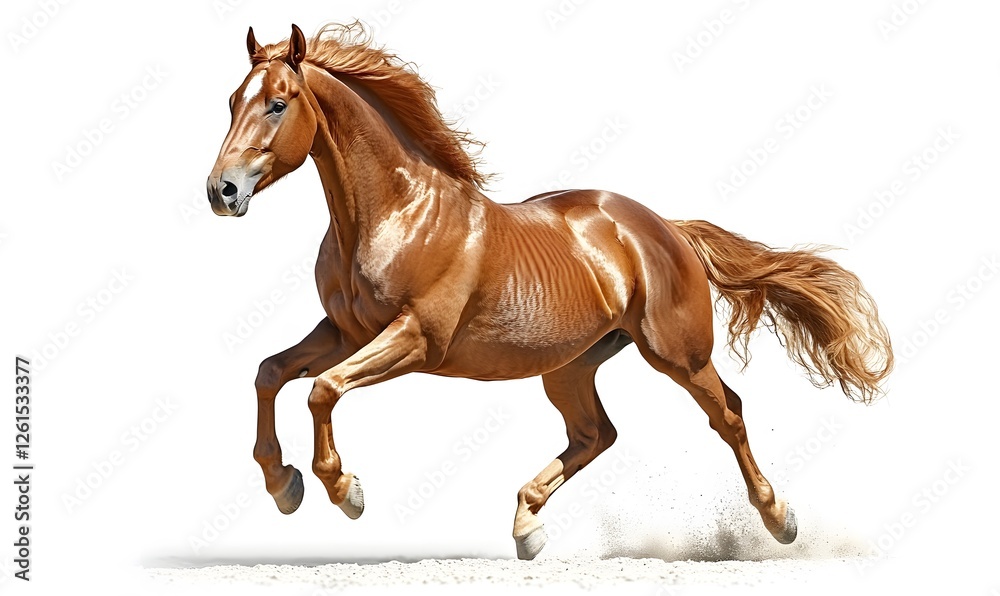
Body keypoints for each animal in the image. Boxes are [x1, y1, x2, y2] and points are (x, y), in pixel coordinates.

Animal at [206, 23, 893, 560]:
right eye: (232, 100)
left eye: (278, 103)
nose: (222, 191)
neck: (394, 215)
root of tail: (665, 227)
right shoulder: (345, 332)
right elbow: (271, 373)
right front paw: (283, 486)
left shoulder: (416, 340)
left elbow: (321, 390)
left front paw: (344, 490)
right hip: (570, 365)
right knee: (596, 434)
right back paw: (526, 526)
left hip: (677, 354)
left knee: (728, 413)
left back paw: (780, 520)